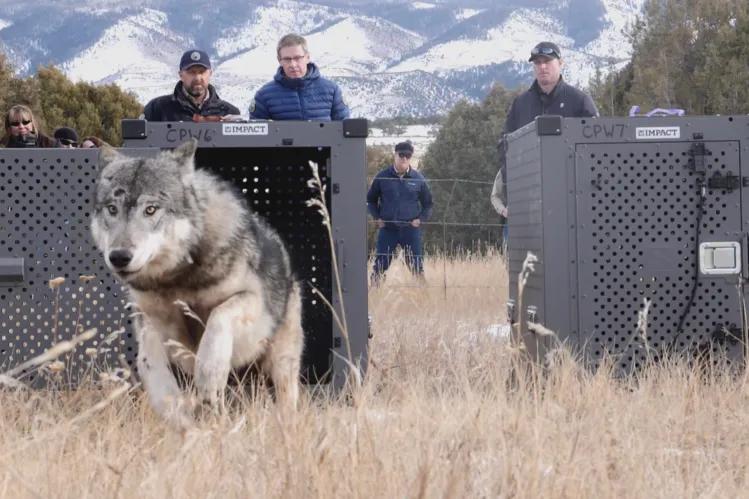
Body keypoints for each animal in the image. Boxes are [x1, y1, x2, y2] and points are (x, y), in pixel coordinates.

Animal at [90, 138, 305, 430]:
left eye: (150, 209)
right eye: (112, 209)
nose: (119, 257)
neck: (178, 279)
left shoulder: (251, 302)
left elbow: (218, 318)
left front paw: (210, 374)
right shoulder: (152, 321)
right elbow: (149, 362)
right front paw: (173, 409)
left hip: (280, 361)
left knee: (286, 397)